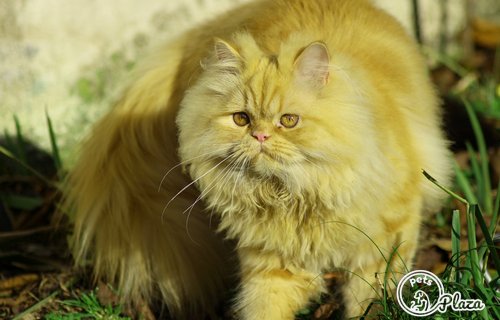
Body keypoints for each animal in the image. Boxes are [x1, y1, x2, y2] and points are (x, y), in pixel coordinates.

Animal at [63, 0, 454, 318]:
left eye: (288, 121)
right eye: (241, 119)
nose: (261, 137)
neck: (294, 197)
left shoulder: (387, 238)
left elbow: (371, 299)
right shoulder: (273, 265)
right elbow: (265, 308)